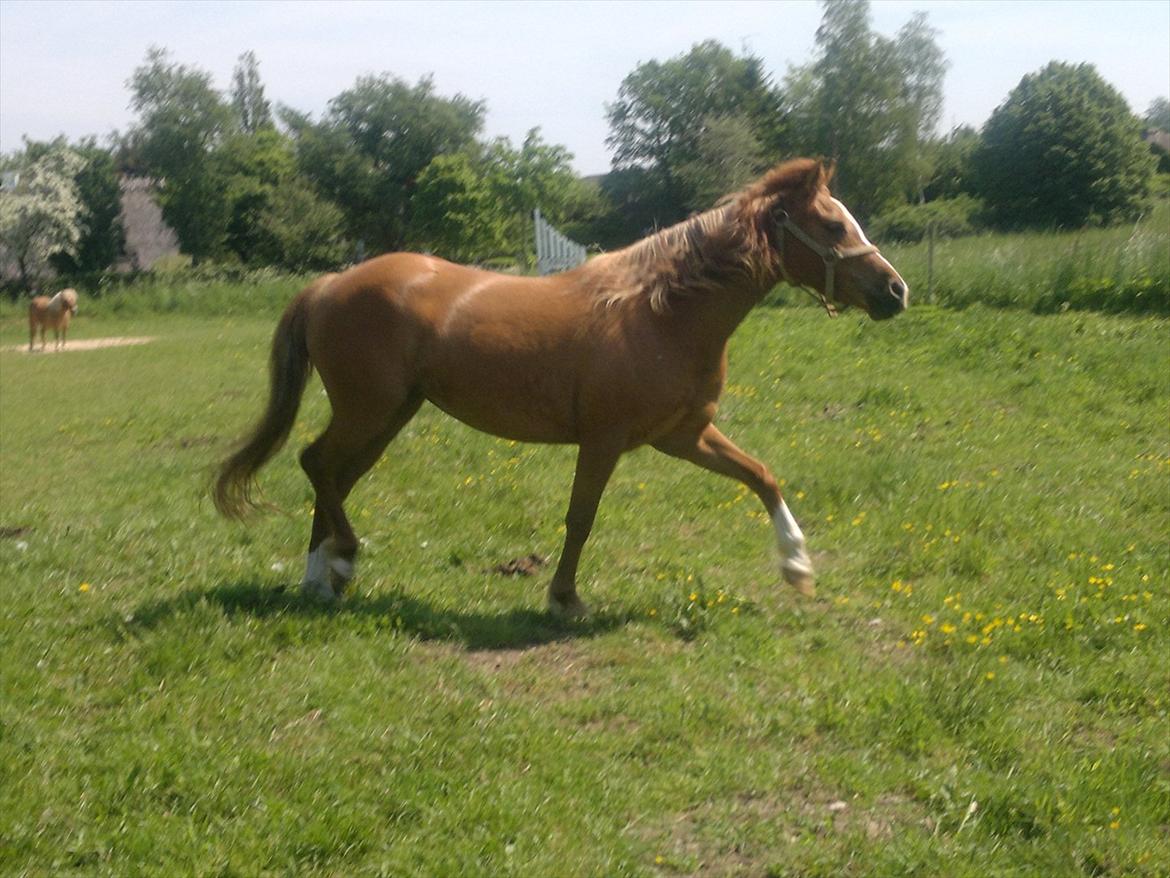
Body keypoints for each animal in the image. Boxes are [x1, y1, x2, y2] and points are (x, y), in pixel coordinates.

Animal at [215, 160, 907, 613]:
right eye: (834, 226)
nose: (895, 291)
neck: (660, 312)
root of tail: (331, 283)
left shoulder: (684, 435)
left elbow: (762, 476)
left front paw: (797, 565)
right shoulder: (604, 440)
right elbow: (581, 518)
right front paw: (563, 597)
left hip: (389, 415)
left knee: (332, 476)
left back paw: (321, 578)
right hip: (369, 409)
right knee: (317, 465)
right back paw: (343, 560)